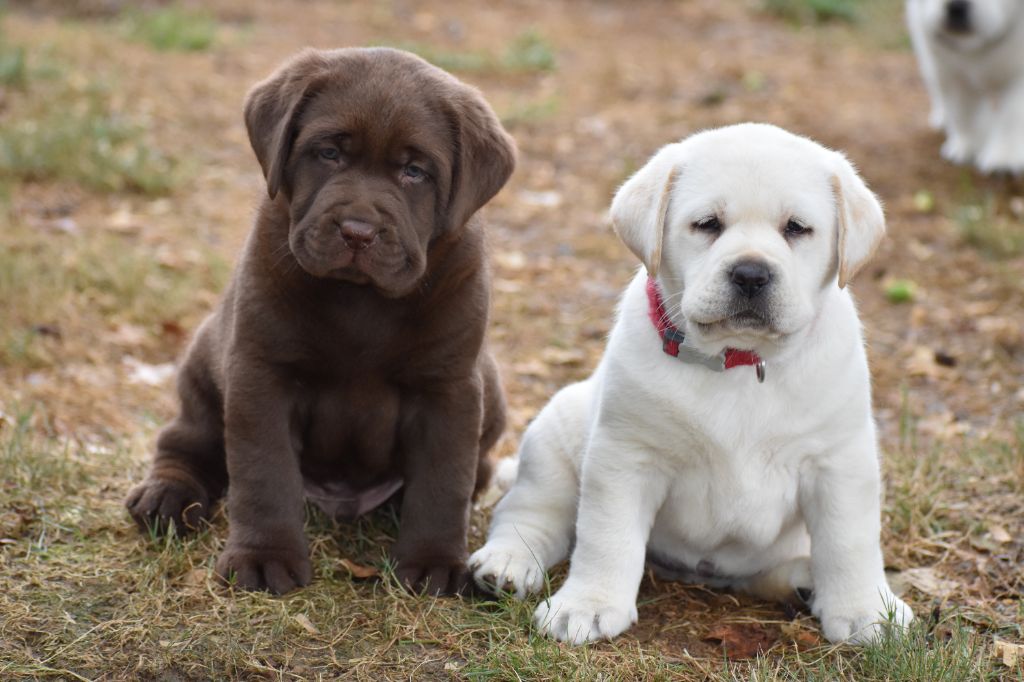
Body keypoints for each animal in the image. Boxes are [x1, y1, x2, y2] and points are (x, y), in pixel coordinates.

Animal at [468, 120, 917, 643]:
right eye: (707, 224)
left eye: (796, 228)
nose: (751, 273)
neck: (738, 361)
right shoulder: (626, 456)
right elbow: (606, 536)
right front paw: (587, 605)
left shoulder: (839, 462)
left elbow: (849, 543)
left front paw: (866, 611)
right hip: (553, 436)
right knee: (530, 512)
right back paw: (506, 563)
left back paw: (804, 581)